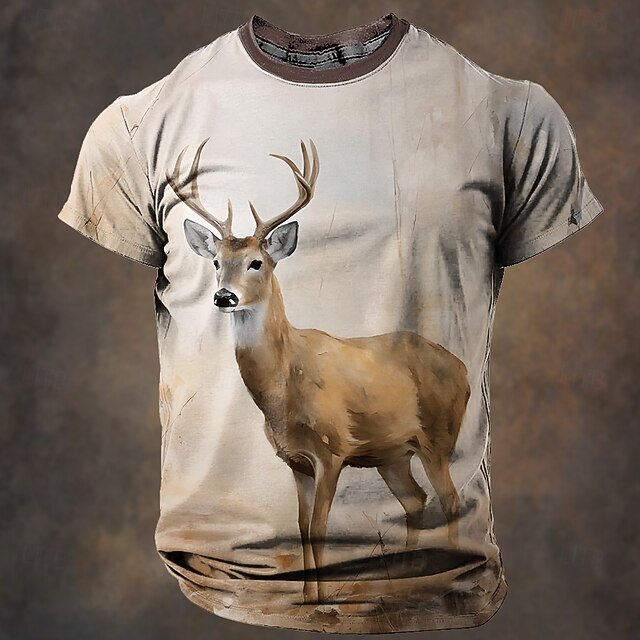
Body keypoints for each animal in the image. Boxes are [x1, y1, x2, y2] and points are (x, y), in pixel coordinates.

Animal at [165, 137, 471, 604]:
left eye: (256, 262)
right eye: (216, 262)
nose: (223, 297)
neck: (283, 390)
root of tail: (463, 368)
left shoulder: (332, 451)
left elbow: (322, 528)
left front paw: (322, 598)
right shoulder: (296, 461)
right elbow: (302, 529)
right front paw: (308, 596)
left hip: (439, 435)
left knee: (450, 500)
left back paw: (447, 578)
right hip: (392, 453)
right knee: (415, 500)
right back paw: (401, 583)